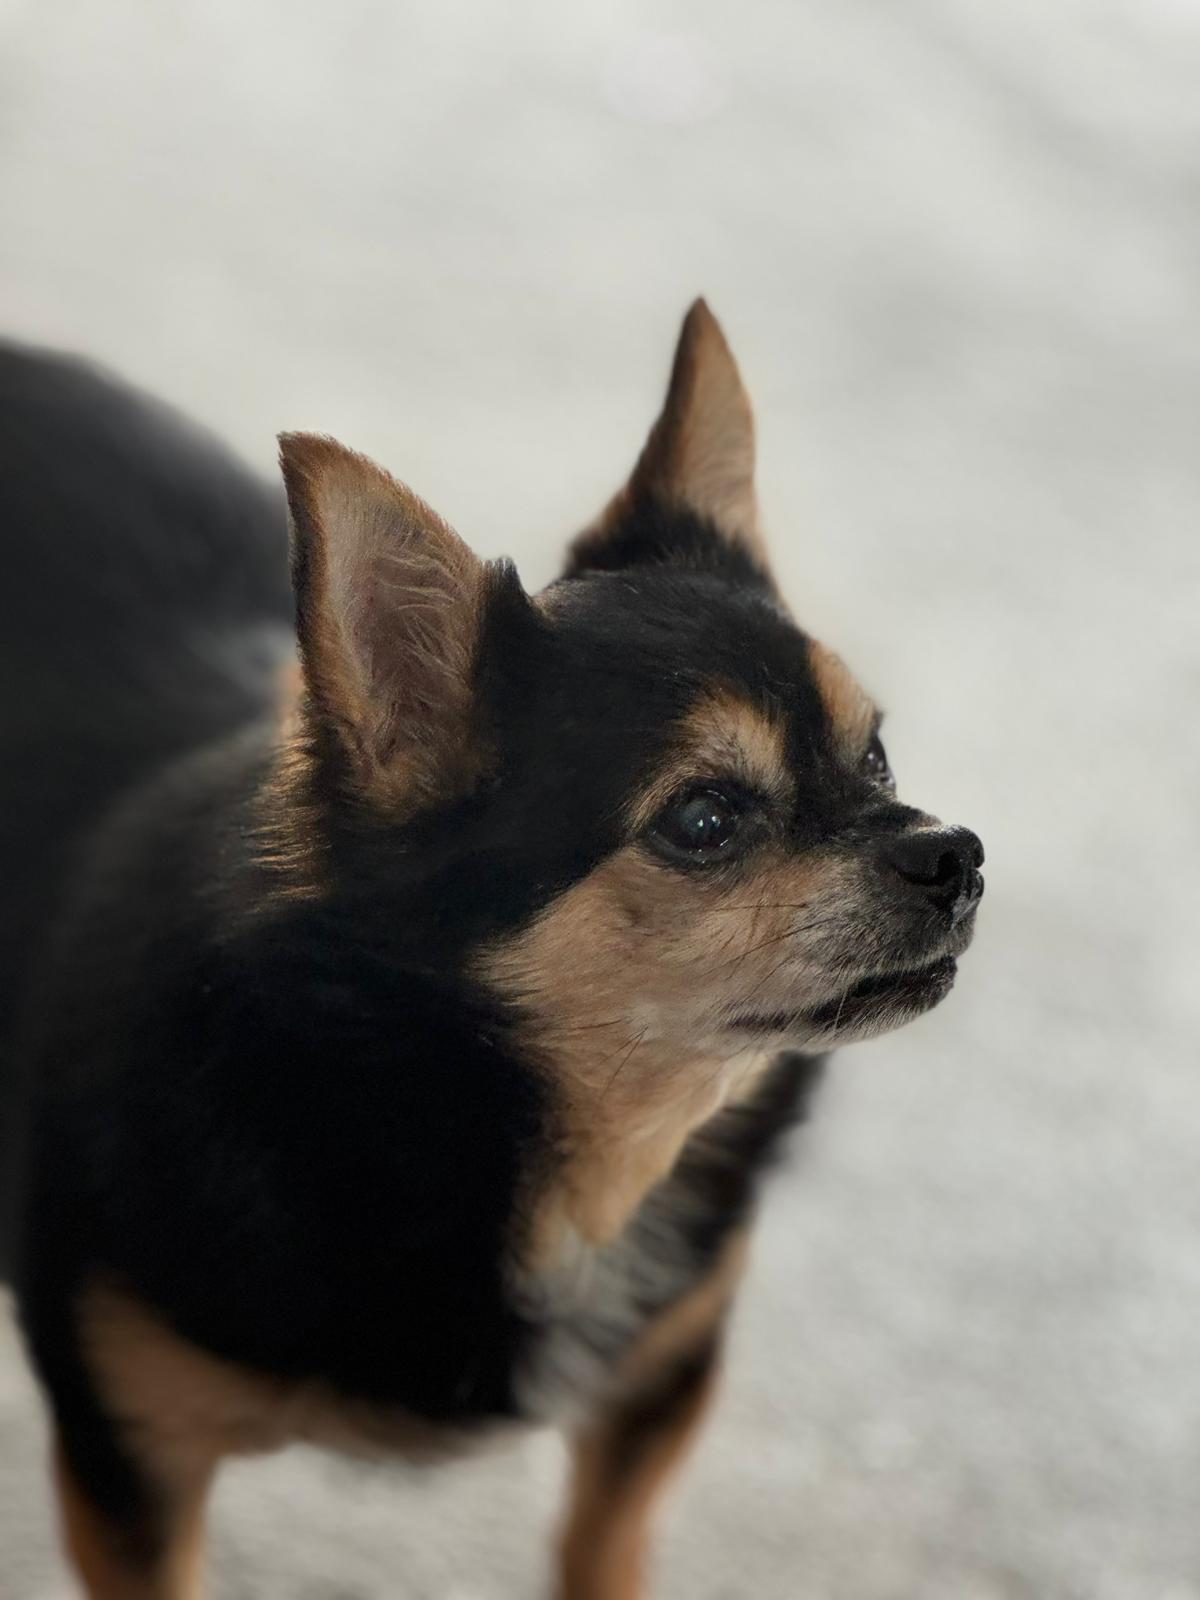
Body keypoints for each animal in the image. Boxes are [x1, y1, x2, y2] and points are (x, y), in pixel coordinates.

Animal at [0, 301, 983, 1599]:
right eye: (704, 820)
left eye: (875, 757)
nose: (957, 854)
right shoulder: (132, 1468)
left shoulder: (655, 1390)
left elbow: (599, 1551)